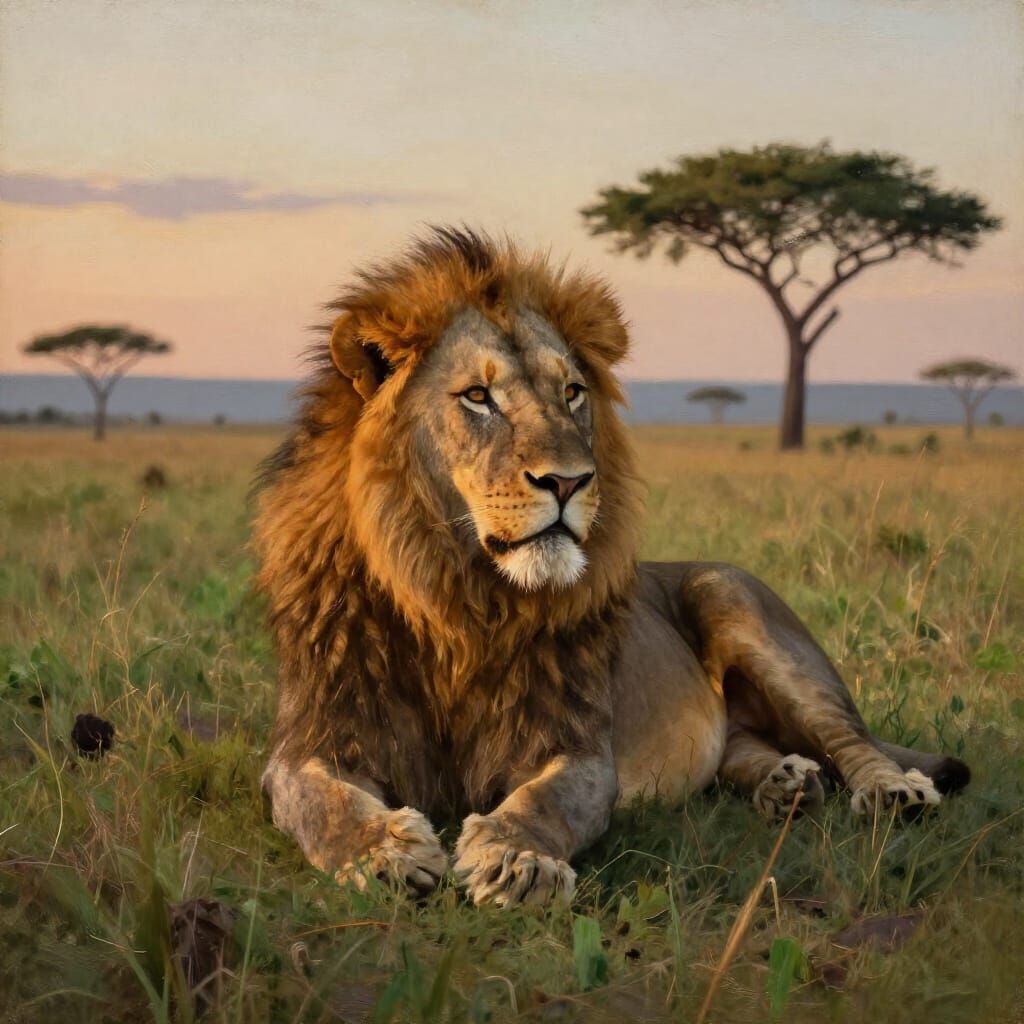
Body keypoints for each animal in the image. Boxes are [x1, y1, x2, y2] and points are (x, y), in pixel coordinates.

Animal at [255, 227, 969, 906]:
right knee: (740, 746)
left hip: (740, 606)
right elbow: (324, 804)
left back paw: (889, 793)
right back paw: (786, 783)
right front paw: (382, 854)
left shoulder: (577, 747)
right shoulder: (312, 741)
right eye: (479, 397)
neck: (456, 598)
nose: (569, 481)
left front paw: (518, 860)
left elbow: (546, 801)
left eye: (572, 393)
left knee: (853, 740)